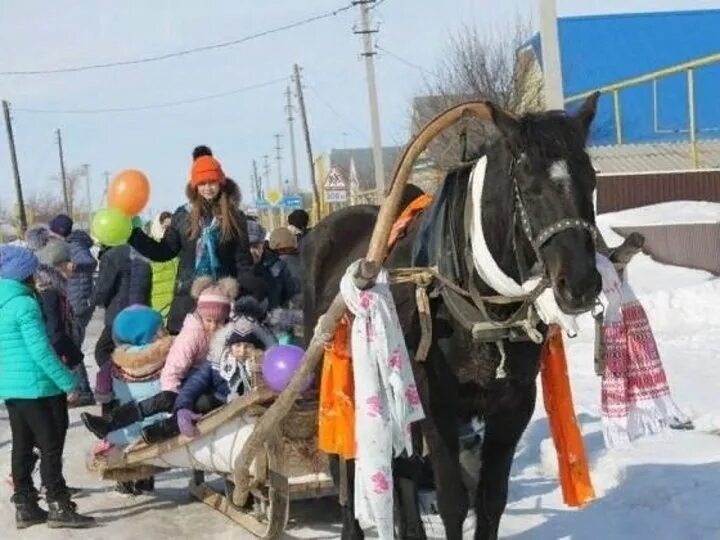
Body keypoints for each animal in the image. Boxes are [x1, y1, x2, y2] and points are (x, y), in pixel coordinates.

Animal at [302, 95, 600, 536]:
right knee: (348, 468)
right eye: (530, 188)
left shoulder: (514, 405)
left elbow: (491, 499)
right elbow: (453, 501)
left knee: (403, 469)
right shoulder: (434, 402)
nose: (581, 283)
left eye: (591, 180)